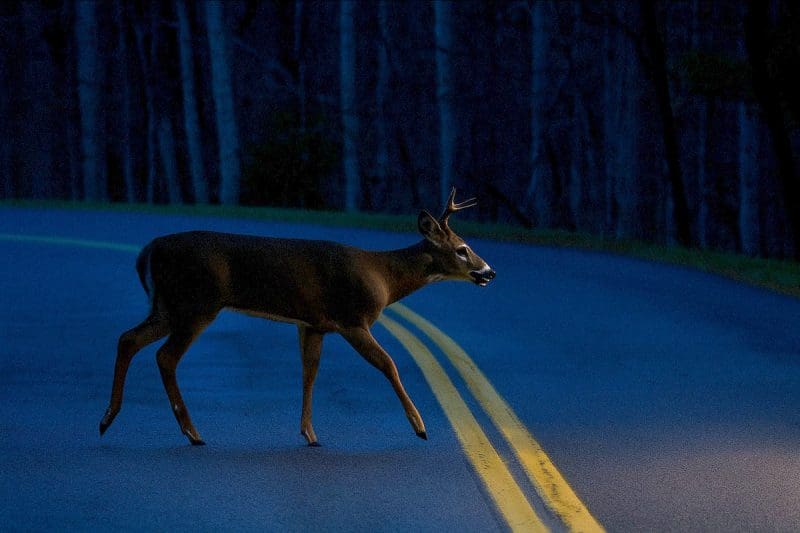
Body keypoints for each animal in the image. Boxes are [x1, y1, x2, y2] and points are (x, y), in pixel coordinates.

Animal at [99, 188, 495, 446]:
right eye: (462, 249)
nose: (488, 272)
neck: (385, 277)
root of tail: (149, 250)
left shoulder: (313, 325)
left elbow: (309, 373)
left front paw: (310, 434)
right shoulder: (354, 320)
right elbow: (388, 364)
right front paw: (420, 426)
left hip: (167, 307)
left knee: (127, 338)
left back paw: (108, 419)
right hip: (197, 305)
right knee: (165, 355)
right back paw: (191, 433)